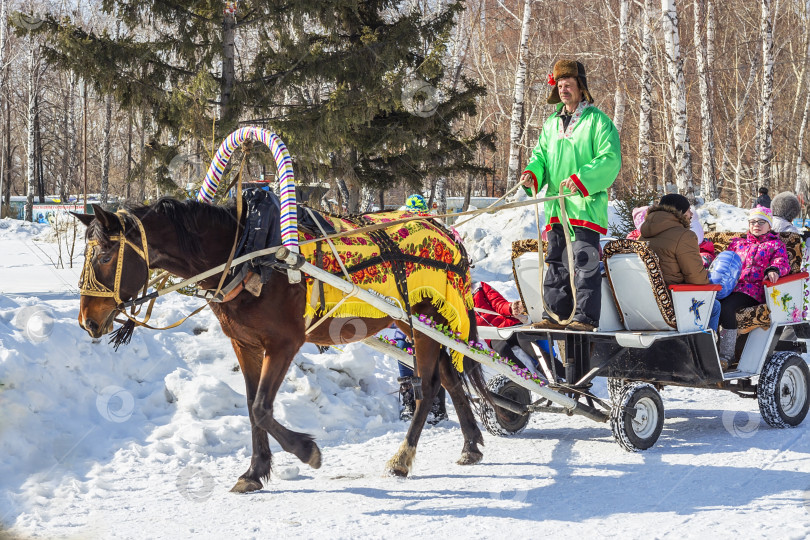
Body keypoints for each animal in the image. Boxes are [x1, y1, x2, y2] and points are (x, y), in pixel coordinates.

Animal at [74, 199, 486, 494]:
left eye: (106, 255)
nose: (88, 321)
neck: (249, 253)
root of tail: (445, 230)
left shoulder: (285, 343)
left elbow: (261, 407)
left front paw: (307, 452)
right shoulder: (245, 345)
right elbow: (251, 406)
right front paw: (254, 472)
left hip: (425, 320)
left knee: (428, 387)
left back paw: (403, 458)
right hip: (417, 322)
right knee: (450, 379)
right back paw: (470, 445)